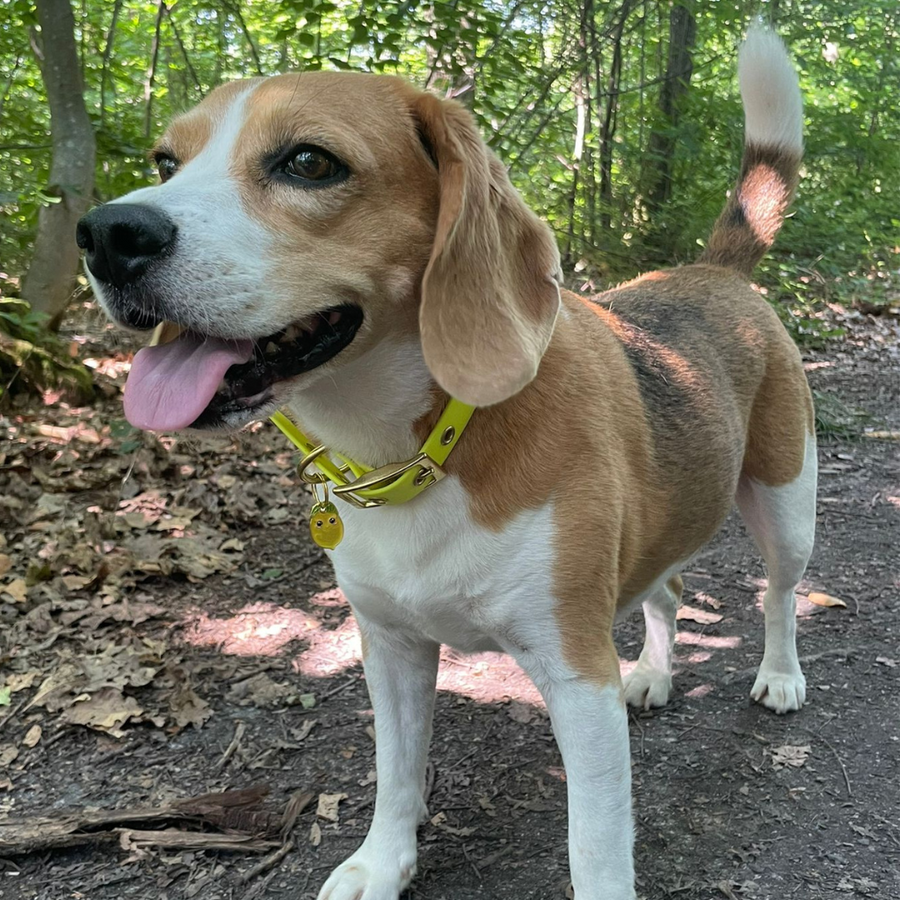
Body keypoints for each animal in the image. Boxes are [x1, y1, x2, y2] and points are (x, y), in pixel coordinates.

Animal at [79, 24, 816, 896]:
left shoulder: (577, 678)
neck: (417, 451)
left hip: (787, 504)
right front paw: (381, 862)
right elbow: (397, 771)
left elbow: (596, 845)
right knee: (667, 591)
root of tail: (714, 271)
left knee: (778, 595)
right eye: (166, 162)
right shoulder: (390, 646)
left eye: (309, 163)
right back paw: (656, 673)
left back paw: (780, 675)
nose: (107, 235)